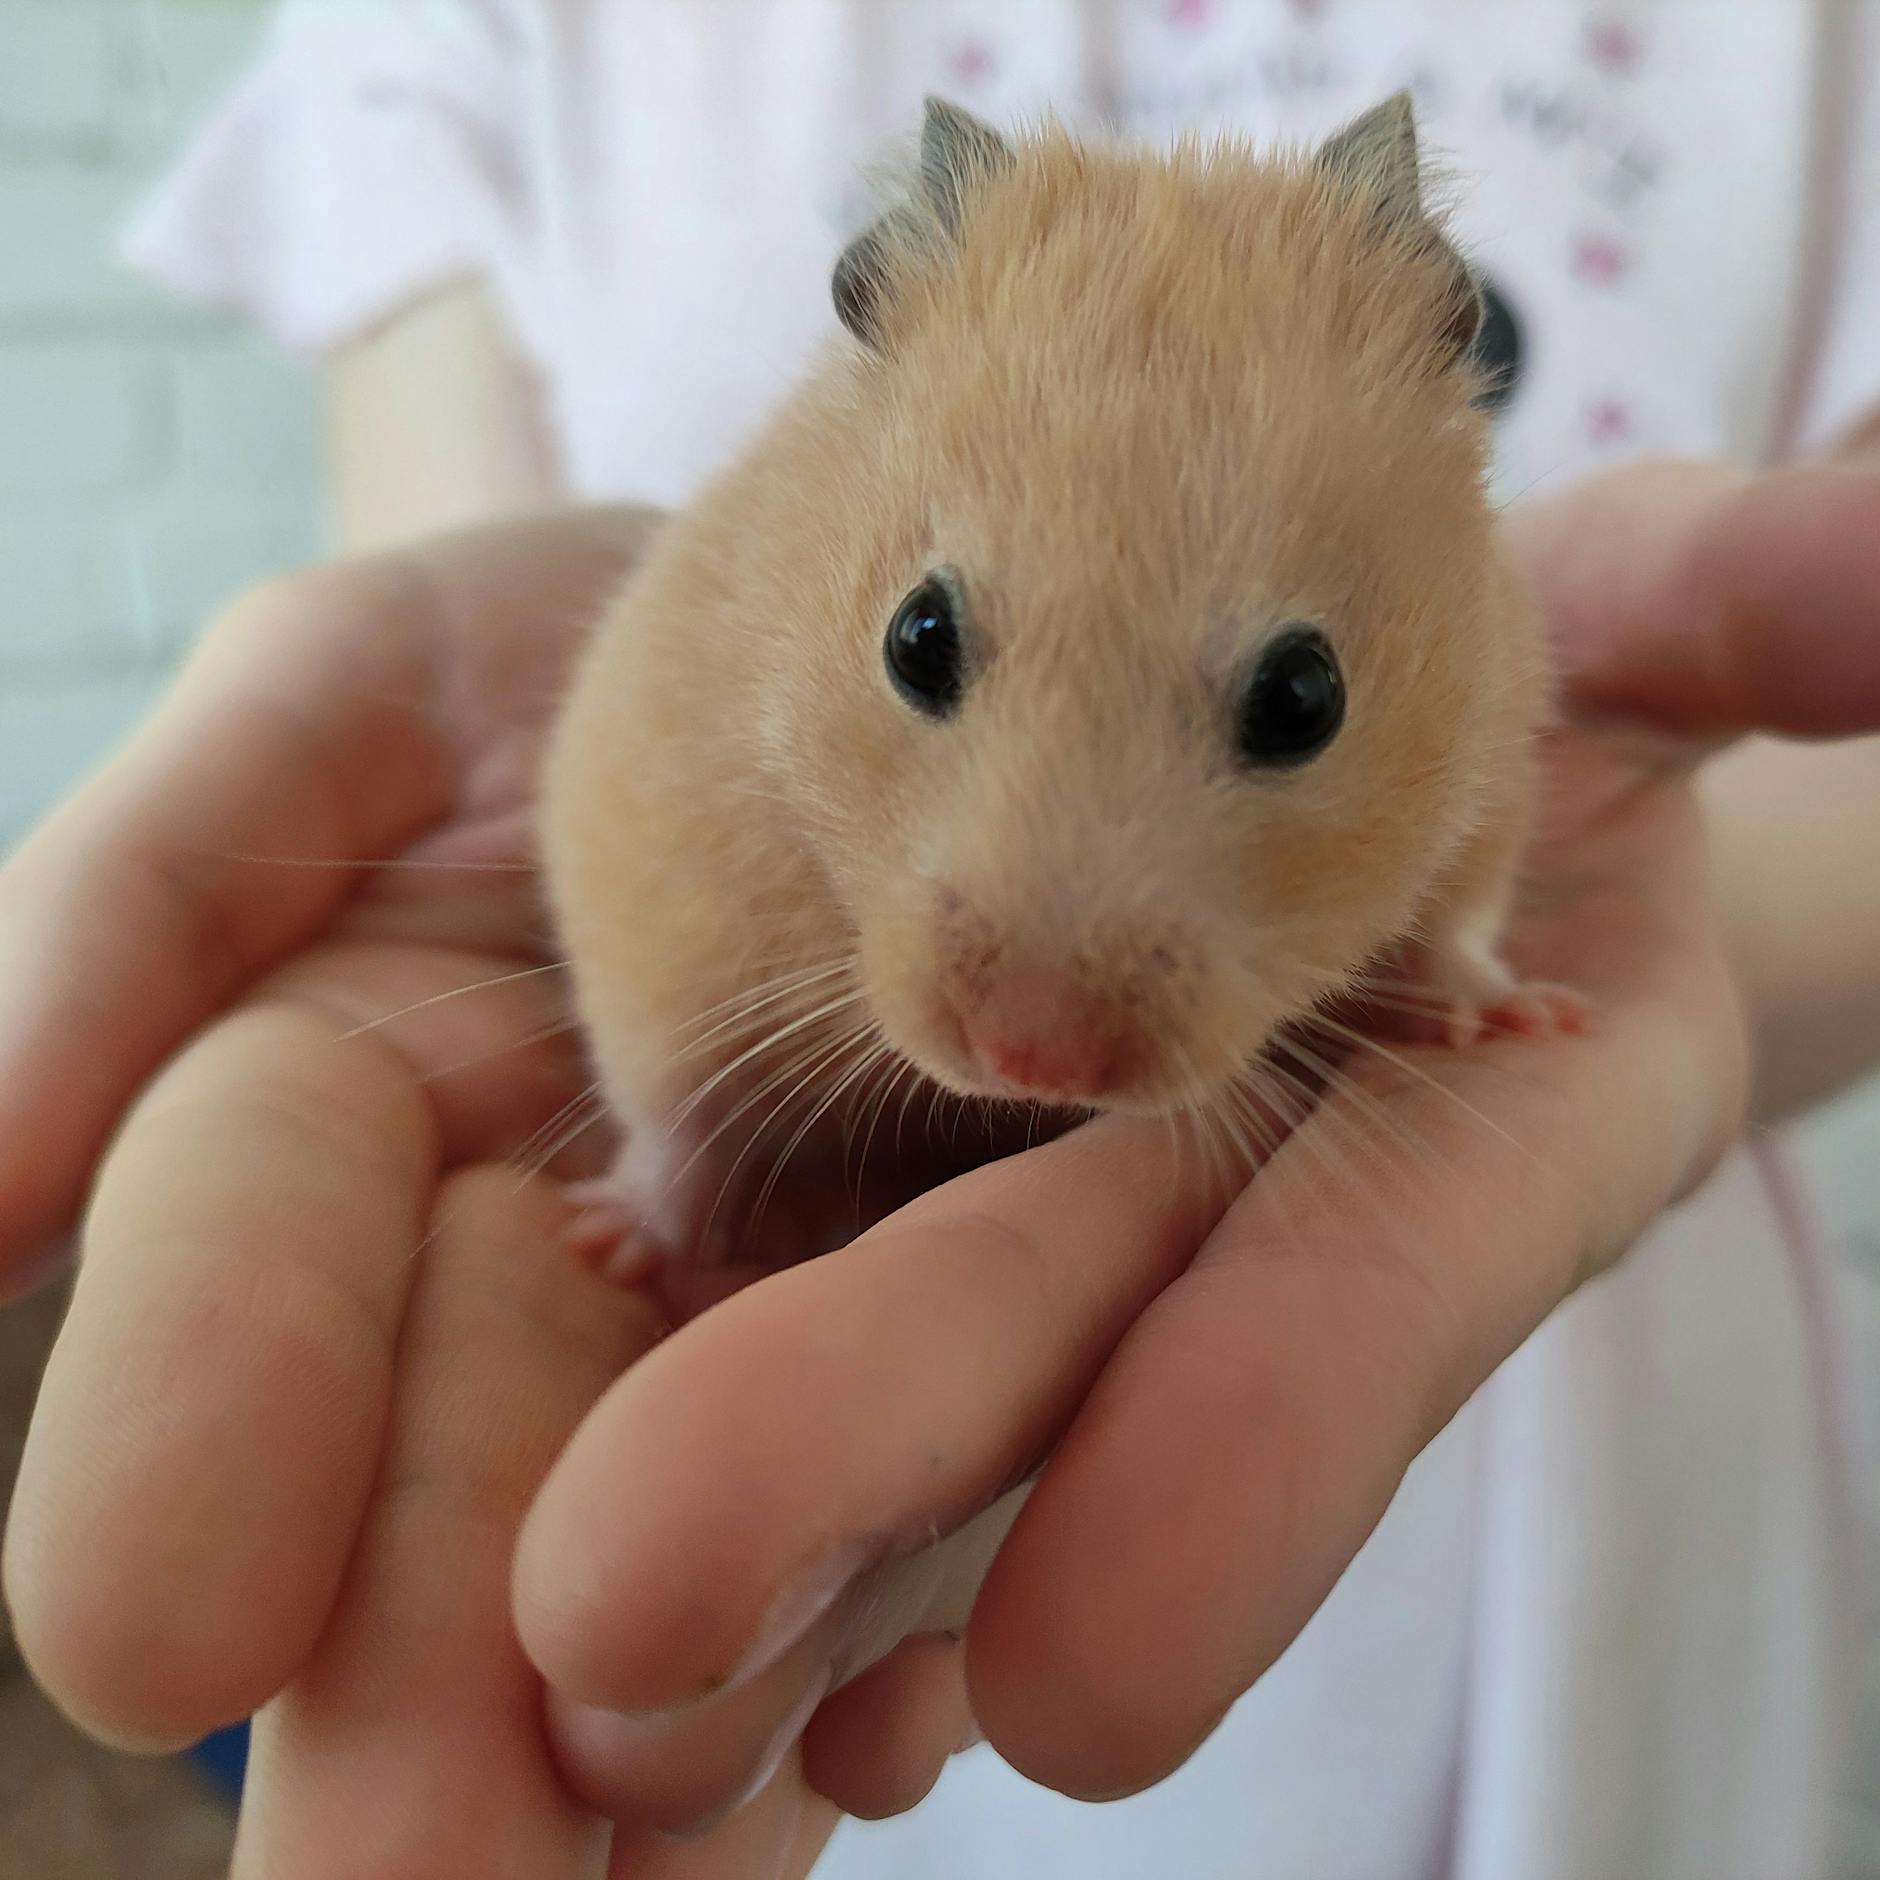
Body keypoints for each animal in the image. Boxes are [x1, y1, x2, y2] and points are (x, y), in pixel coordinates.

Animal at [540, 92, 1573, 1269]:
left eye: (1304, 698)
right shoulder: (653, 858)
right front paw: (600, 1241)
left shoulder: (1493, 758)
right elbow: (669, 1103)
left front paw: (1522, 1015)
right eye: (915, 638)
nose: (1029, 1055)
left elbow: (1454, 930)